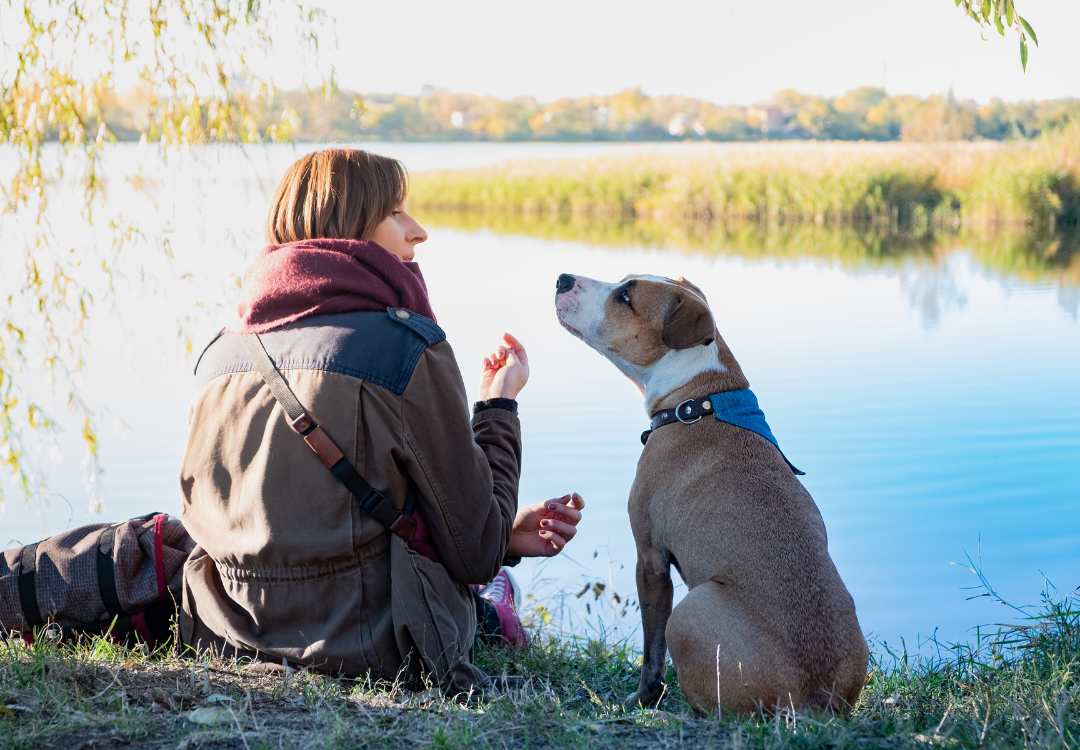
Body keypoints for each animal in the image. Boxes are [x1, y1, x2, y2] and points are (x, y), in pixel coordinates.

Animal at [557, 274, 868, 717]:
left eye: (625, 296)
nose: (562, 278)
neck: (697, 401)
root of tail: (813, 700)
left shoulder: (650, 559)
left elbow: (651, 653)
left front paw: (642, 701)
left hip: (689, 611)